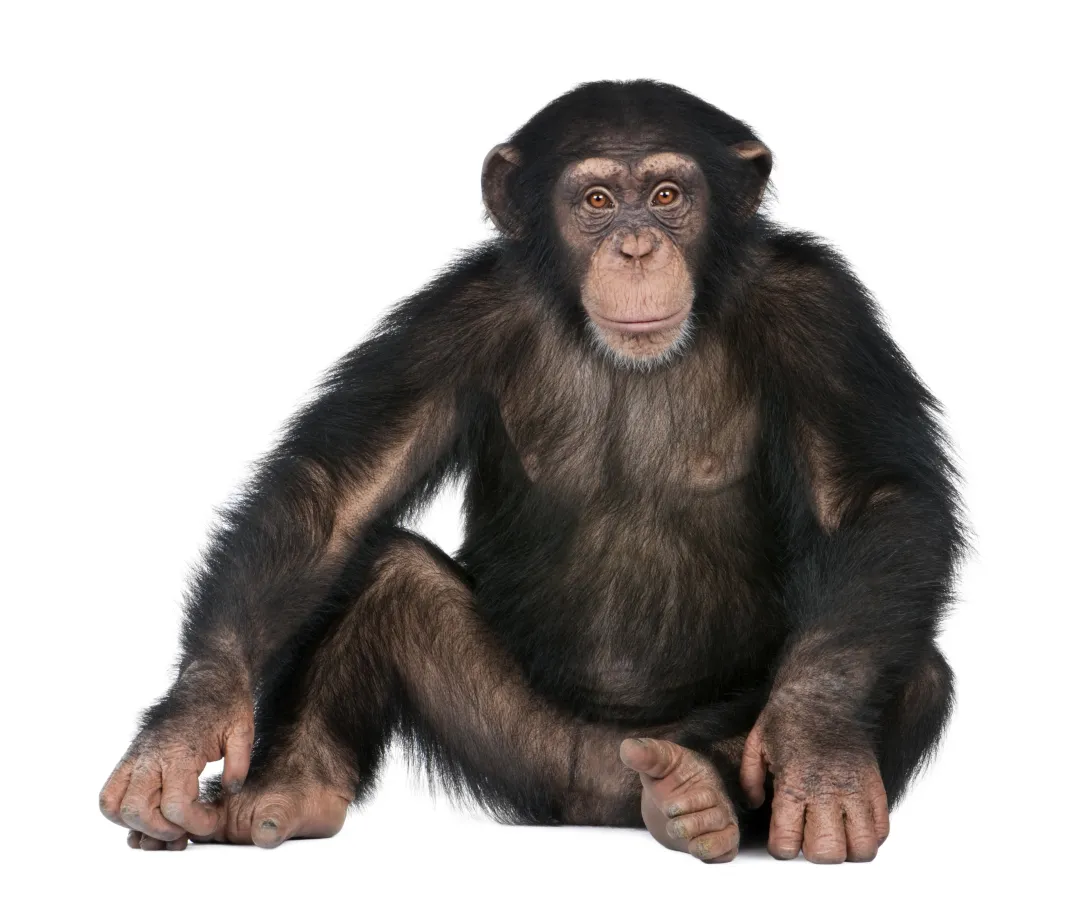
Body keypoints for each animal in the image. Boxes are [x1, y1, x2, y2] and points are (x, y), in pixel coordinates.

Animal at [100, 80, 963, 864]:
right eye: (595, 199)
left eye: (667, 194)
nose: (636, 246)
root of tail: (602, 798)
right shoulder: (456, 316)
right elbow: (337, 491)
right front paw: (191, 720)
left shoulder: (819, 309)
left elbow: (871, 499)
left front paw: (818, 744)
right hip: (523, 751)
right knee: (384, 574)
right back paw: (291, 789)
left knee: (912, 666)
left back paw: (704, 796)